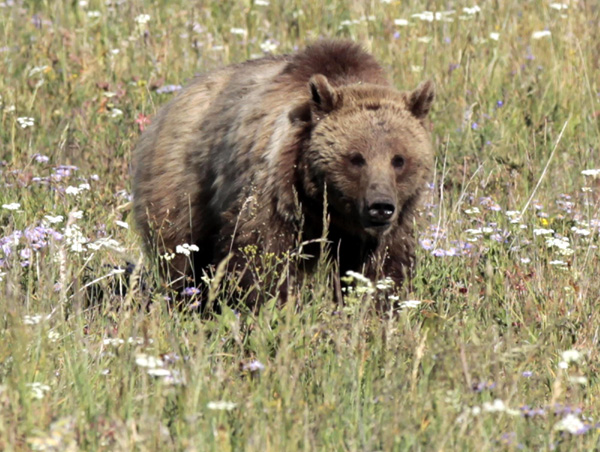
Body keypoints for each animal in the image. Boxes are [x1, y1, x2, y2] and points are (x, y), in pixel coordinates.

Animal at [131, 39, 434, 308]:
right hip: (183, 183)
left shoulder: (387, 227)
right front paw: (274, 306)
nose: (380, 206)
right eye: (356, 158)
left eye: (399, 160)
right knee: (180, 253)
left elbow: (383, 266)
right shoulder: (275, 188)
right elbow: (263, 254)